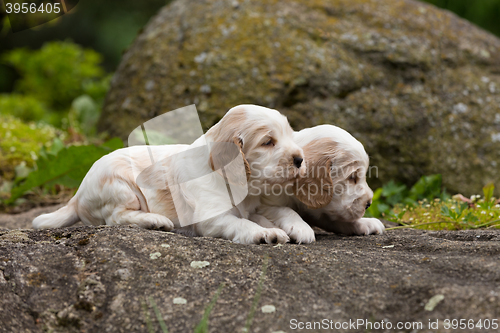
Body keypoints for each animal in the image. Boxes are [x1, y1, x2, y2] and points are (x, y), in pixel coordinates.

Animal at [33, 104, 306, 244]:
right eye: (268, 142)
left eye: (290, 135)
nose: (300, 159)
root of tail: (77, 196)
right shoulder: (211, 217)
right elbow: (241, 222)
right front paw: (264, 233)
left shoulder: (255, 205)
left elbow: (280, 210)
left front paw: (299, 228)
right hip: (120, 187)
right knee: (116, 218)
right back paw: (154, 220)